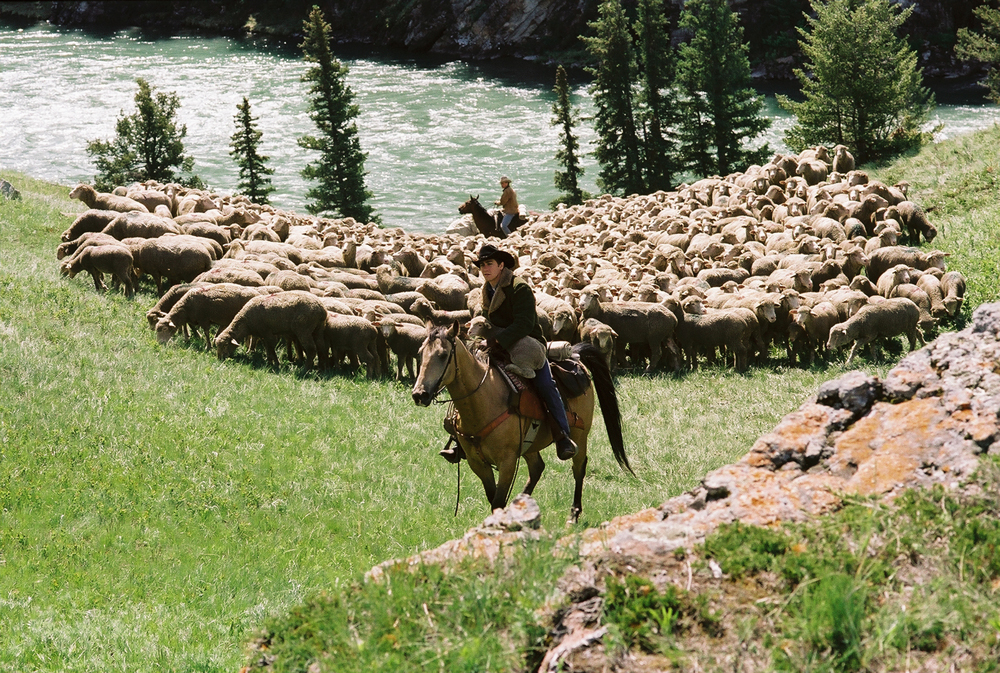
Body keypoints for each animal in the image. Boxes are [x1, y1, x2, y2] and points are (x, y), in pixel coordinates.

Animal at [408, 322, 628, 524]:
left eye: (443, 354)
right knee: (537, 468)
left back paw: (573, 514)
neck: (484, 399)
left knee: (579, 468)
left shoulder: (507, 462)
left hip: (580, 436)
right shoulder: (477, 462)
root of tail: (575, 356)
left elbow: (497, 501)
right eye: (420, 353)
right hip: (529, 444)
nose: (419, 394)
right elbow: (493, 498)